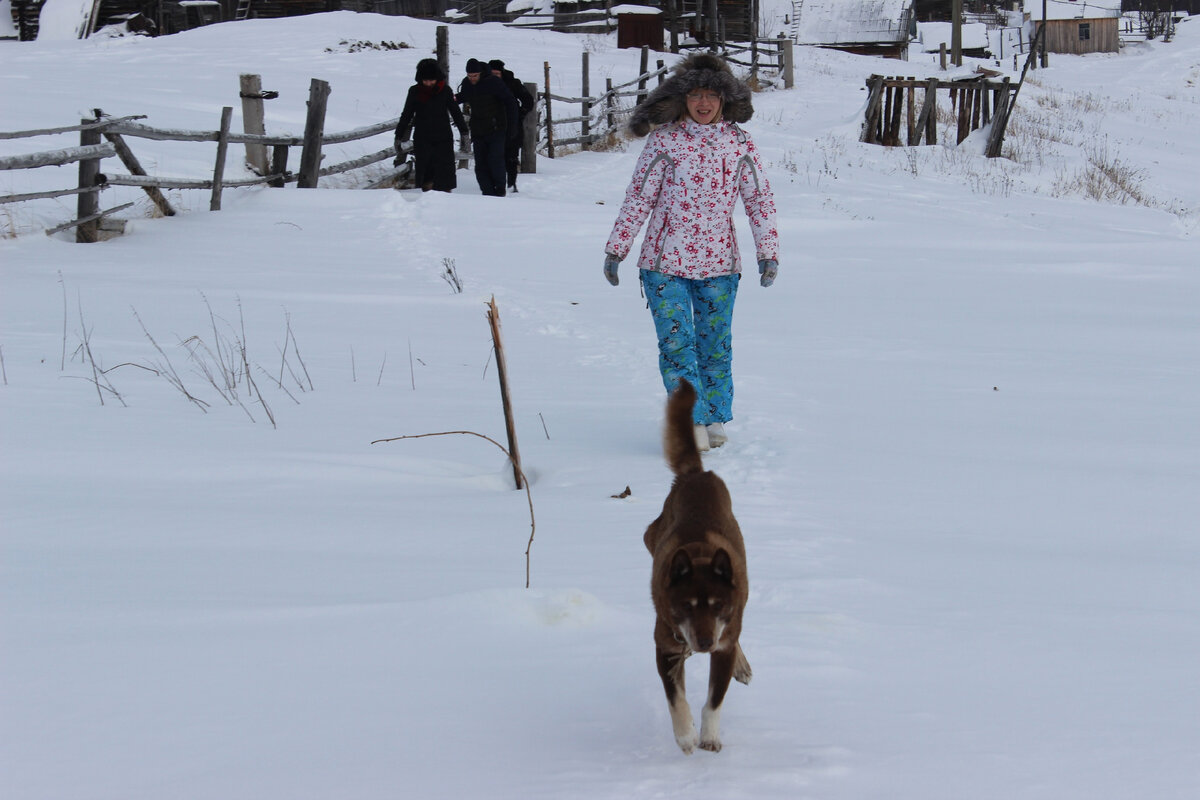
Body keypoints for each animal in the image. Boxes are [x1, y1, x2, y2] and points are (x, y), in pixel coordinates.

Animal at [648, 379, 748, 753]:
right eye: (687, 606)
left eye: (717, 606)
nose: (703, 642)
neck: (702, 555)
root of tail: (696, 475)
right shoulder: (665, 645)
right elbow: (675, 698)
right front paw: (686, 735)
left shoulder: (724, 644)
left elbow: (714, 699)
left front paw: (709, 736)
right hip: (651, 535)